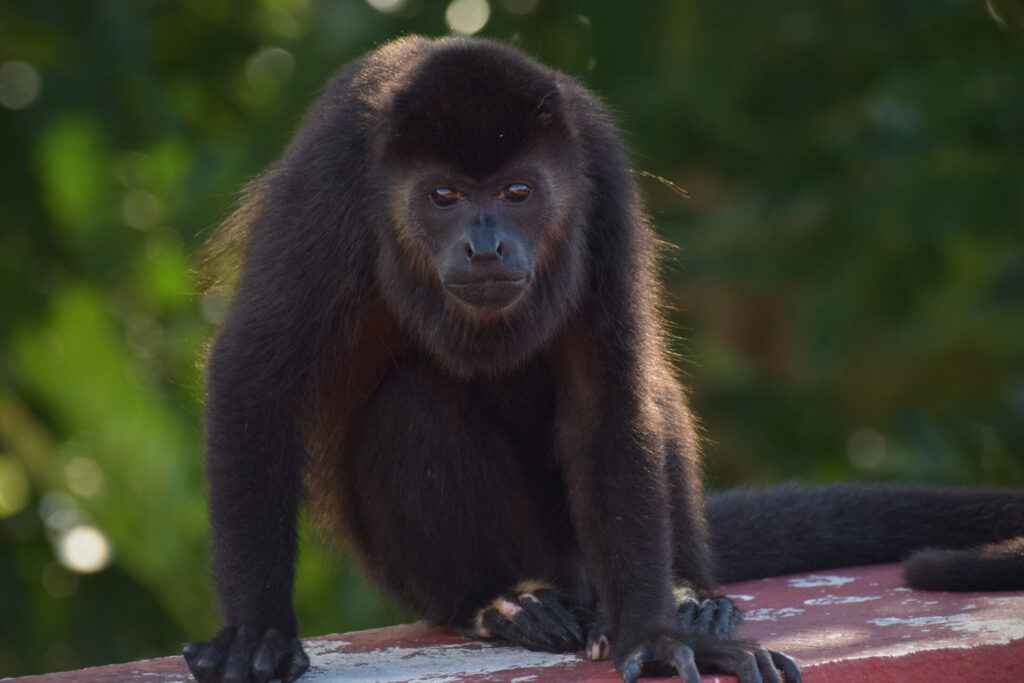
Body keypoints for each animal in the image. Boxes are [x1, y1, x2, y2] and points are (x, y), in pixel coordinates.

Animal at [183, 36, 1024, 683]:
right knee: (417, 400)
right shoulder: (329, 176)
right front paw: (257, 630)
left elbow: (612, 389)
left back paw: (686, 590)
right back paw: (502, 600)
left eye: (519, 191)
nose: (485, 245)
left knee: (651, 393)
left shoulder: (600, 169)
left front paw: (656, 633)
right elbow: (256, 370)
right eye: (444, 196)